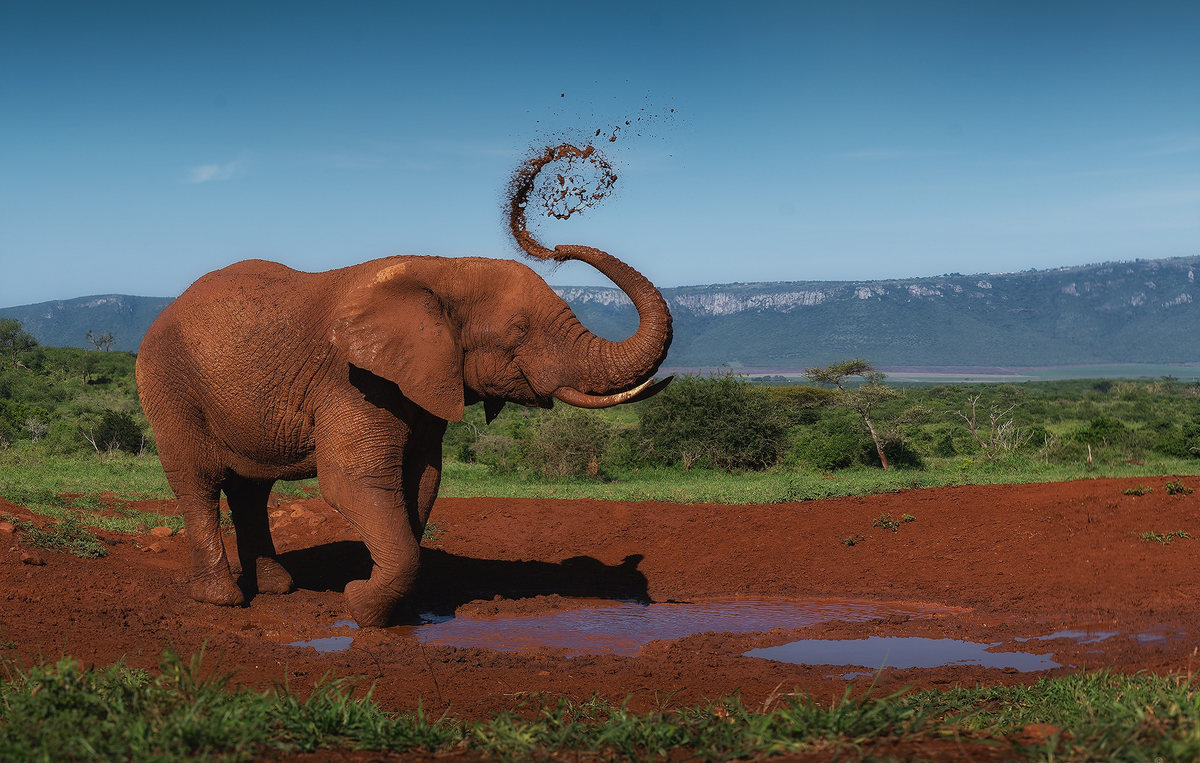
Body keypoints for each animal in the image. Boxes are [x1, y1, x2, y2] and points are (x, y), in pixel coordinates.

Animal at [135, 239, 672, 627]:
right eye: (518, 330)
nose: (553, 247)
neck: (443, 269)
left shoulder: (427, 379)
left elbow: (423, 481)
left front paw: (395, 610)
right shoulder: (353, 380)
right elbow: (353, 483)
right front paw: (360, 606)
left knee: (251, 490)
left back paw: (277, 590)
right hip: (169, 387)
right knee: (198, 483)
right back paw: (222, 601)